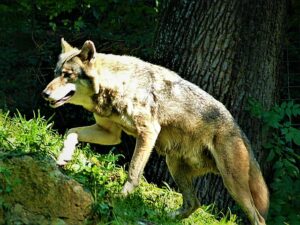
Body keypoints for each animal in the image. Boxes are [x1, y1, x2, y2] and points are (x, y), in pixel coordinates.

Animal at [42, 39, 270, 225]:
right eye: (55, 74)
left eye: (67, 75)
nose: (44, 94)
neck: (119, 84)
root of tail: (238, 129)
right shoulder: (110, 134)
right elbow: (71, 132)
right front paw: (63, 157)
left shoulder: (147, 132)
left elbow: (133, 172)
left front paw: (119, 199)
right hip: (175, 166)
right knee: (194, 203)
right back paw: (166, 217)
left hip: (233, 184)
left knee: (258, 218)